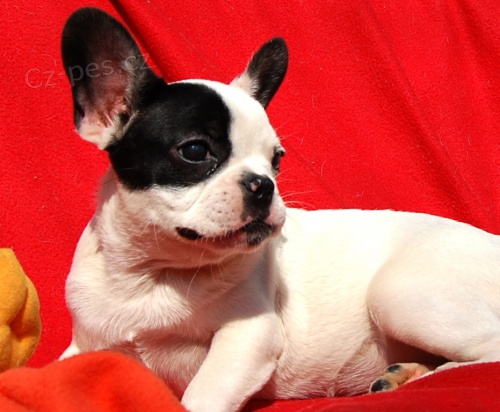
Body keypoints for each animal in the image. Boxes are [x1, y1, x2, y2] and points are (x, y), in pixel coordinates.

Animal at [60, 7, 500, 412]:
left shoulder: (247, 338)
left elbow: (199, 397)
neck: (154, 273)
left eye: (276, 160)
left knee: (486, 353)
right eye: (195, 151)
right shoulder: (87, 345)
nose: (263, 183)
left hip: (400, 294)